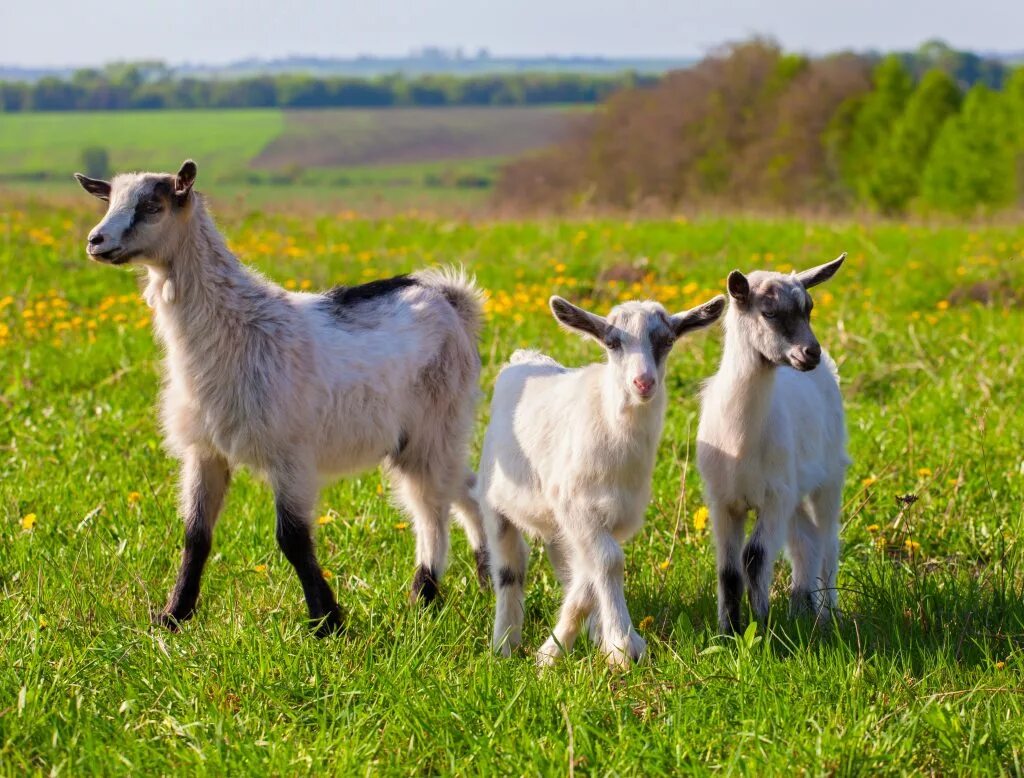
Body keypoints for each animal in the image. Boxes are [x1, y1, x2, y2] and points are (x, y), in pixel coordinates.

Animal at [73, 160, 487, 634]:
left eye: (152, 206)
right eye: (109, 202)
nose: (96, 241)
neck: (236, 329)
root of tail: (450, 300)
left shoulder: (291, 454)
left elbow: (292, 538)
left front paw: (326, 620)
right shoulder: (205, 450)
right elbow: (196, 535)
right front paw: (174, 615)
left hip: (434, 424)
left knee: (430, 506)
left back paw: (424, 594)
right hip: (424, 436)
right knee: (463, 487)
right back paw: (483, 578)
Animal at [479, 294, 729, 667]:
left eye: (667, 340)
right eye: (613, 342)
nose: (644, 383)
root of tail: (524, 357)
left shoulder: (613, 516)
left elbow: (588, 576)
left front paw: (555, 650)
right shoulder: (575, 506)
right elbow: (609, 561)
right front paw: (623, 646)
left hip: (555, 525)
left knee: (567, 566)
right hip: (495, 502)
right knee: (511, 568)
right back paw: (504, 644)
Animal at [700, 251, 851, 634]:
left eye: (809, 308)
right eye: (768, 312)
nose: (811, 352)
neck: (741, 439)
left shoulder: (773, 497)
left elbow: (754, 558)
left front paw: (762, 626)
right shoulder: (724, 500)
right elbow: (729, 570)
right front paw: (728, 631)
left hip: (828, 477)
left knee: (827, 542)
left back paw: (827, 615)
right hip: (793, 491)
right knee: (806, 541)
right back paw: (801, 608)